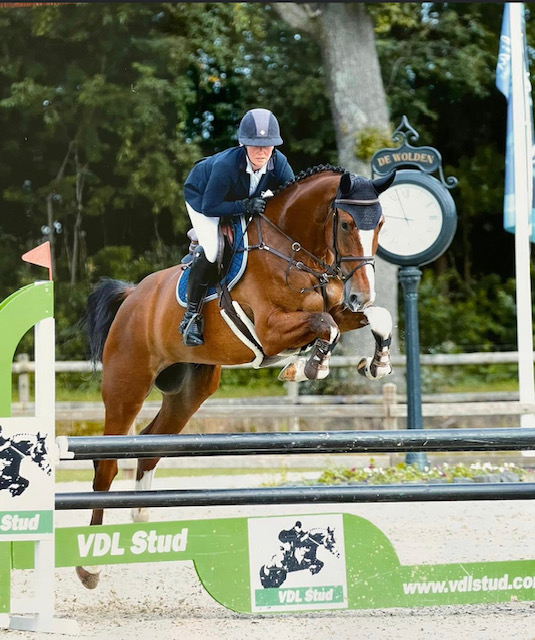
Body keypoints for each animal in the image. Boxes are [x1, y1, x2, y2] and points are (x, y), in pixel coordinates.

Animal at [78, 164, 395, 588]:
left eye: (380, 224)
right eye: (345, 223)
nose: (361, 294)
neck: (296, 250)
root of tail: (132, 296)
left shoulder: (341, 310)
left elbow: (374, 317)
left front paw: (377, 363)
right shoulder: (272, 329)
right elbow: (325, 325)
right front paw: (307, 366)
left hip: (190, 391)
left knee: (149, 443)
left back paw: (140, 515)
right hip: (126, 386)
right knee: (107, 462)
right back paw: (90, 566)